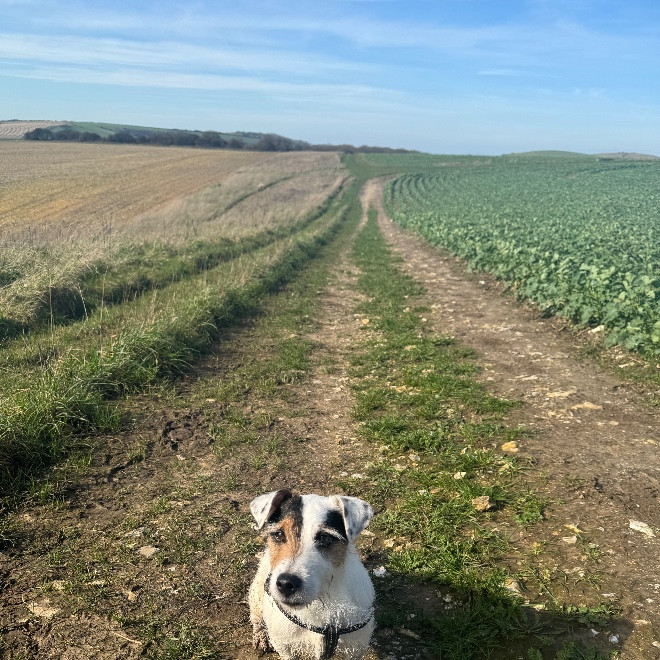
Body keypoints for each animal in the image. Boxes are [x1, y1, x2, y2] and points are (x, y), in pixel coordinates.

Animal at [248, 489, 375, 659]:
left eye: (325, 537)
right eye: (279, 534)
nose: (286, 583)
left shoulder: (356, 649)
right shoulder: (284, 645)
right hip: (256, 593)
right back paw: (261, 635)